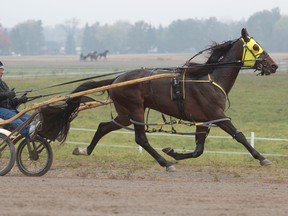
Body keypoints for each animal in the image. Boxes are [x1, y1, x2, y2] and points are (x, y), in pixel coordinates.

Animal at [71, 28, 278, 170]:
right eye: (256, 46)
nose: (274, 65)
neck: (211, 78)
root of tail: (116, 79)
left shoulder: (203, 120)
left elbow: (198, 150)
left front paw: (173, 152)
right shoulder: (217, 115)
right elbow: (239, 135)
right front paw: (262, 158)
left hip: (125, 113)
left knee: (103, 127)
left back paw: (84, 150)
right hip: (135, 109)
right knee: (141, 139)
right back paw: (165, 164)